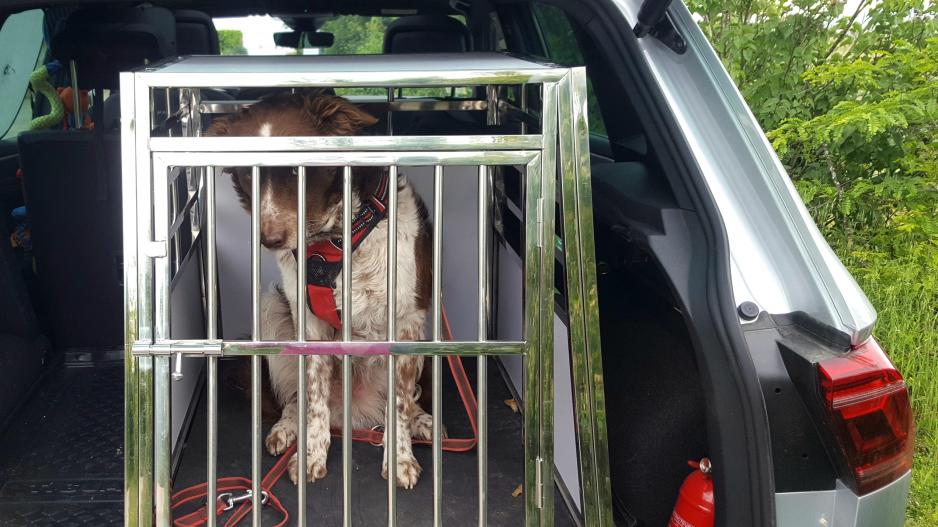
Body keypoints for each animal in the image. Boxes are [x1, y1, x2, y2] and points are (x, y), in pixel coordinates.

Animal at [207, 92, 434, 490]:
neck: (338, 241)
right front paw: (311, 455)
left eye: (298, 171)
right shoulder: (309, 324)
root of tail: (354, 414)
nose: (270, 240)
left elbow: (401, 404)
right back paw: (286, 428)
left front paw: (400, 457)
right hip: (271, 312)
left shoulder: (407, 320)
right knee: (294, 401)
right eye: (248, 174)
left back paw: (422, 420)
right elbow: (313, 398)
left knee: (408, 400)